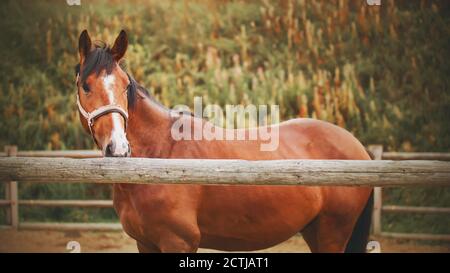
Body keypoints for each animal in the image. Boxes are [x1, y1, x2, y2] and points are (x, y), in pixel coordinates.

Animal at [76, 28, 372, 252]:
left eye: (126, 85)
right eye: (85, 86)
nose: (118, 148)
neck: (160, 156)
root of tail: (357, 147)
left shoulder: (178, 242)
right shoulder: (145, 244)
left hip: (331, 234)